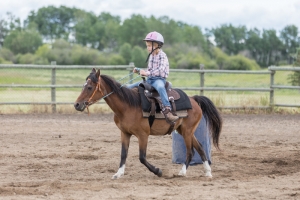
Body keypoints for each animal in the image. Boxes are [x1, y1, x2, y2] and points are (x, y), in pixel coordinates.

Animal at [74, 68, 221, 179]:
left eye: (89, 87)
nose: (77, 104)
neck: (128, 105)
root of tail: (194, 99)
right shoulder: (125, 133)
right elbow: (123, 154)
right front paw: (118, 173)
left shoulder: (143, 135)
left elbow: (142, 157)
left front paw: (158, 171)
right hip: (183, 130)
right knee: (200, 147)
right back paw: (208, 172)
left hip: (187, 131)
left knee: (190, 151)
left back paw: (182, 172)